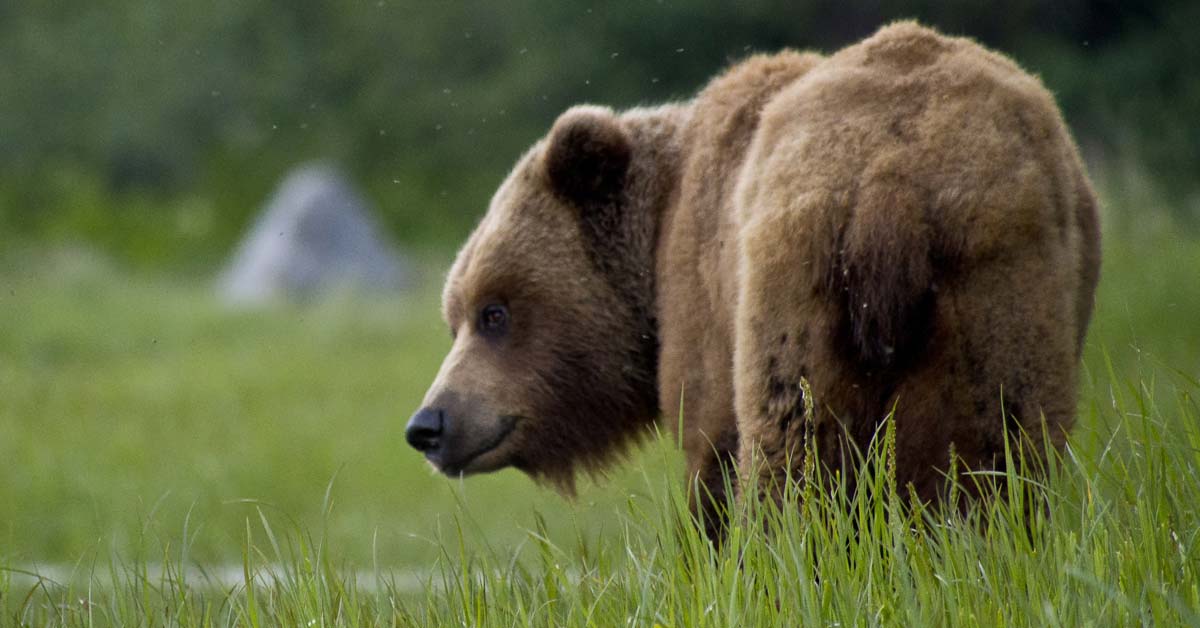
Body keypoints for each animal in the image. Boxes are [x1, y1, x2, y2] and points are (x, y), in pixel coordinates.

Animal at [405, 21, 1102, 538]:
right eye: (455, 315)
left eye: (494, 312)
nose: (428, 423)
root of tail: (891, 181)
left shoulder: (704, 302)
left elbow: (712, 447)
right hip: (996, 282)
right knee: (999, 450)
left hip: (795, 279)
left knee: (793, 451)